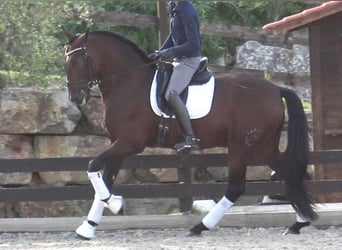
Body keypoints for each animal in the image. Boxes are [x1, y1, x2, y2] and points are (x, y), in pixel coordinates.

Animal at [64, 30, 318, 239]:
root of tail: (276, 89)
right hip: (263, 147)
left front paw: (115, 205)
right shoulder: (116, 143)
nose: (76, 98)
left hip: (241, 147)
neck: (128, 82)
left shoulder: (129, 143)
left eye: (76, 61)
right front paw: (88, 227)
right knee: (290, 173)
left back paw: (200, 226)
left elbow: (92, 168)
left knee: (236, 188)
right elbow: (104, 180)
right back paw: (299, 222)